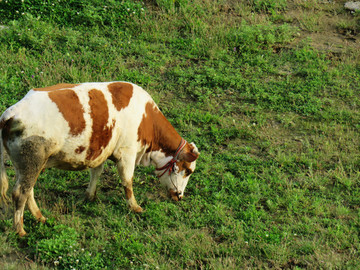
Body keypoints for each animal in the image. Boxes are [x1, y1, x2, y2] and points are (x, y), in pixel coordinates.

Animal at [0, 82, 200, 236]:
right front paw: (135, 206)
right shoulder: (127, 152)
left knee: (28, 191)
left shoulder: (102, 150)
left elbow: (96, 172)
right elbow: (127, 181)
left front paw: (90, 196)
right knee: (20, 193)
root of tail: (11, 113)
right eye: (188, 170)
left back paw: (39, 216)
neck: (145, 118)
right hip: (32, 162)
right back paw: (20, 230)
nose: (179, 196)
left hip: (29, 165)